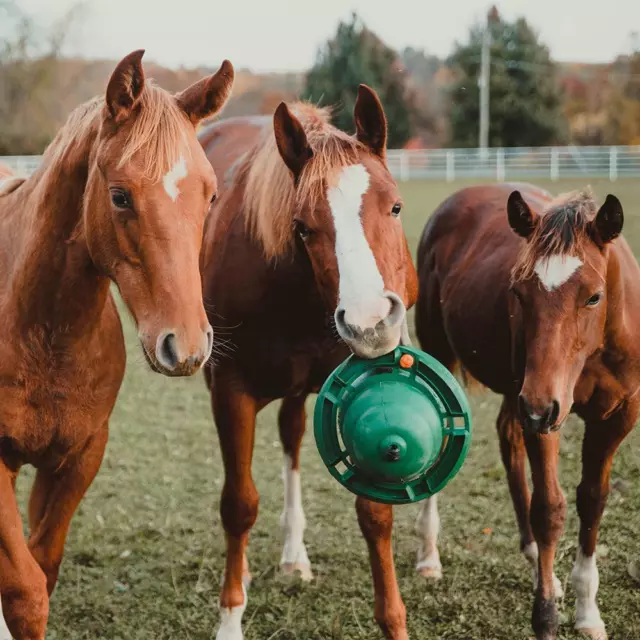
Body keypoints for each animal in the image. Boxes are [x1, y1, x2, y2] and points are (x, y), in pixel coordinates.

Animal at [0, 50, 234, 640]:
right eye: (120, 196)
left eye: (210, 195)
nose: (187, 344)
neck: (44, 337)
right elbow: (24, 591)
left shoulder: (78, 458)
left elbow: (43, 568)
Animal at [201, 86, 420, 640]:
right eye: (302, 227)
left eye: (395, 207)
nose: (370, 324)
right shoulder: (230, 392)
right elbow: (239, 504)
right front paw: (230, 618)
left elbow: (375, 511)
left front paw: (393, 619)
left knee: (293, 438)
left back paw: (293, 554)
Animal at [412, 182, 636, 636]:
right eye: (518, 292)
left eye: (594, 296)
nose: (538, 407)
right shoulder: (544, 414)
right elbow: (549, 508)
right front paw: (546, 615)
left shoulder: (615, 417)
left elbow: (593, 499)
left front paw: (587, 611)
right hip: (452, 359)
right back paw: (428, 556)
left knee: (508, 441)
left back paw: (536, 565)